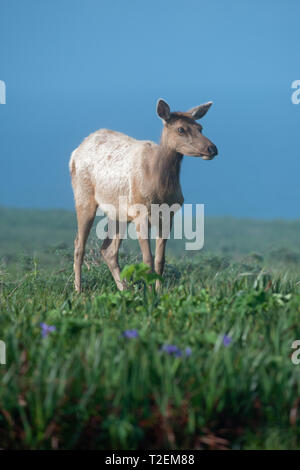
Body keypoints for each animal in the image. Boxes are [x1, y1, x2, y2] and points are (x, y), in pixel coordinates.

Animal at [69, 98, 217, 292]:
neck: (161, 190)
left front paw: (158, 292)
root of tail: (74, 153)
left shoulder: (168, 215)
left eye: (200, 127)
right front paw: (150, 293)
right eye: (181, 129)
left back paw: (124, 289)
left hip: (118, 213)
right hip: (83, 196)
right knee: (79, 245)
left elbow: (160, 260)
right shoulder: (140, 213)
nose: (212, 148)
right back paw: (78, 290)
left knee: (108, 250)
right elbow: (147, 260)